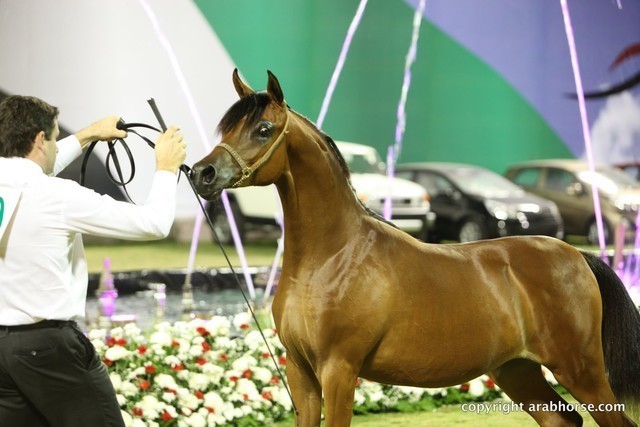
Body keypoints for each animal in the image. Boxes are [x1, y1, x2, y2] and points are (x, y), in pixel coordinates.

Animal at [191, 69, 640, 427]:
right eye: (226, 129)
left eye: (263, 129)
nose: (202, 173)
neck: (332, 258)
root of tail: (577, 256)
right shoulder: (301, 374)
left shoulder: (339, 370)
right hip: (518, 371)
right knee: (561, 419)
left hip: (581, 371)